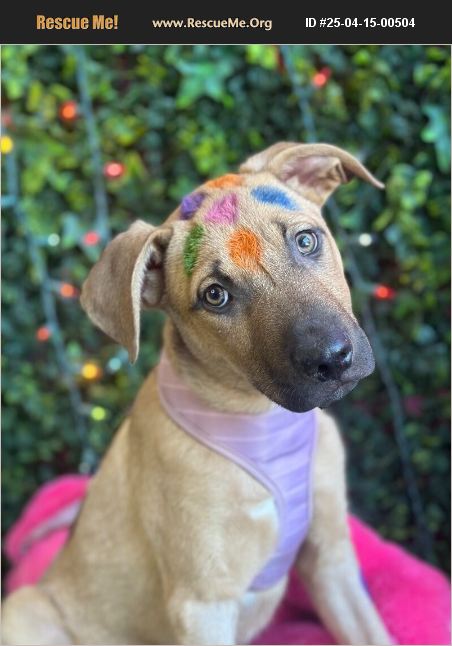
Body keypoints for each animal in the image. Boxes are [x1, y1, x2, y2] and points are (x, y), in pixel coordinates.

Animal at [2, 142, 392, 645]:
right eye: (215, 296)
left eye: (306, 241)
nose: (332, 359)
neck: (262, 419)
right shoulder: (203, 604)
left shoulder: (332, 561)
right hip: (26, 608)